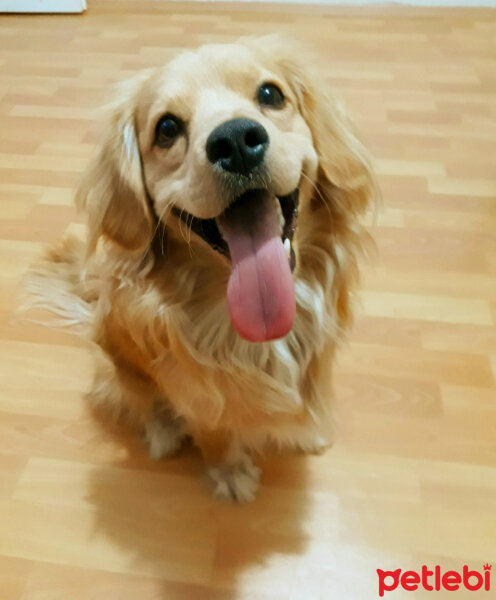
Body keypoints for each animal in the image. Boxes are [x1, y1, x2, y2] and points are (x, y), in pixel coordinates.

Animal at [26, 35, 376, 500]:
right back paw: (163, 433)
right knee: (138, 400)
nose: (237, 141)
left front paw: (310, 431)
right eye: (167, 128)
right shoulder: (196, 395)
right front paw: (230, 475)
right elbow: (214, 436)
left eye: (271, 94)